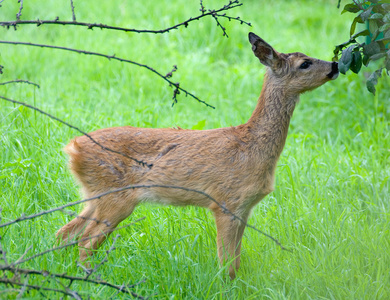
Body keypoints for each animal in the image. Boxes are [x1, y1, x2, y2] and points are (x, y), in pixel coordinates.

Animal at [56, 32, 340, 278]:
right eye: (305, 63)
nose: (336, 65)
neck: (252, 147)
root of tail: (72, 147)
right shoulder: (226, 202)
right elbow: (226, 263)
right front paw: (225, 287)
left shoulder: (245, 208)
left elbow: (236, 260)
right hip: (115, 197)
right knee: (85, 240)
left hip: (93, 194)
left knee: (64, 233)